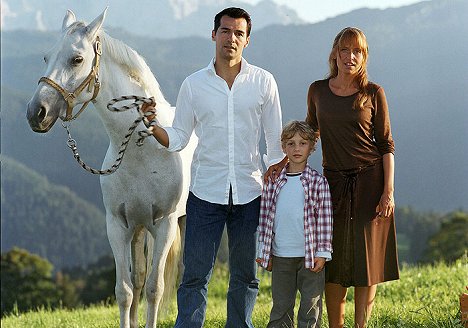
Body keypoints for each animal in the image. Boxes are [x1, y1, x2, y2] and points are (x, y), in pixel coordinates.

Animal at [26, 7, 195, 328]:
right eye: (45, 57)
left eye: (77, 59)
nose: (36, 113)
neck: (143, 150)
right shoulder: (118, 226)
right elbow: (125, 291)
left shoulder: (165, 225)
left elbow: (154, 289)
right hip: (139, 229)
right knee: (138, 277)